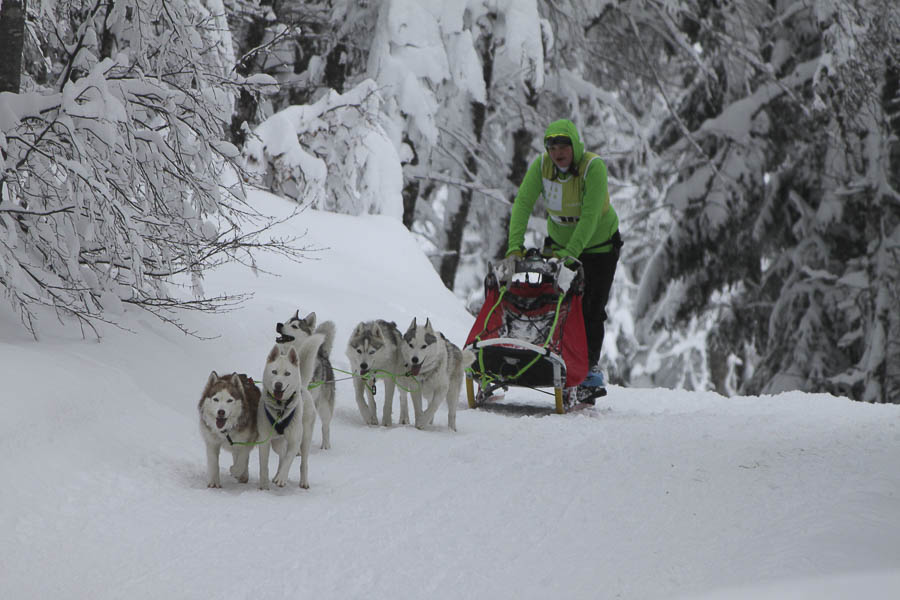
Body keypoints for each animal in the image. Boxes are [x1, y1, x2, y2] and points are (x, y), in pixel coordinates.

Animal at [256, 336, 324, 490]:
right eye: (274, 372)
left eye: (287, 373)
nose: (278, 385)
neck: (281, 409)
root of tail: (303, 386)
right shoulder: (264, 441)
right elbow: (264, 465)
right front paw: (263, 485)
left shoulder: (294, 441)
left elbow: (288, 460)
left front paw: (282, 478)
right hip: (276, 442)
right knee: (281, 454)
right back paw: (276, 475)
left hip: (305, 438)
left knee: (302, 462)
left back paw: (303, 481)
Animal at [276, 312, 336, 448]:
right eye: (286, 322)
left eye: (294, 326)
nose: (279, 324)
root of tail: (324, 356)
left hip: (324, 406)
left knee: (325, 426)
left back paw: (325, 445)